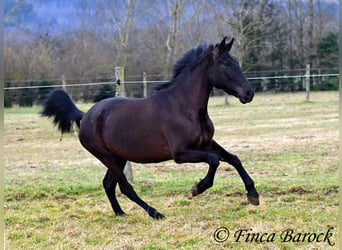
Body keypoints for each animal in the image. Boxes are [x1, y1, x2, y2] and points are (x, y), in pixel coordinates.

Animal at [41, 37, 258, 219]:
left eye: (236, 62)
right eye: (225, 63)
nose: (249, 93)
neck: (185, 107)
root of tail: (85, 115)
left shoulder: (206, 143)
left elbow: (233, 159)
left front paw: (253, 194)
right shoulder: (180, 153)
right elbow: (214, 161)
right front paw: (197, 188)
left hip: (118, 157)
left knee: (108, 184)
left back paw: (120, 213)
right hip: (106, 157)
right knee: (125, 187)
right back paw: (155, 213)